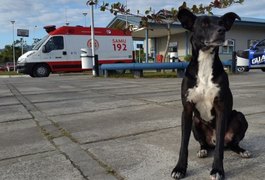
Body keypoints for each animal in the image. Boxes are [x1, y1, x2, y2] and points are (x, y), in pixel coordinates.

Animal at [171, 8, 250, 180]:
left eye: (222, 23)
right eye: (204, 24)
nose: (221, 31)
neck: (206, 62)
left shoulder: (221, 109)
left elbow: (219, 148)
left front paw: (217, 170)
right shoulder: (187, 111)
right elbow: (183, 144)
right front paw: (180, 168)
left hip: (239, 116)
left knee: (230, 143)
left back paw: (241, 150)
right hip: (195, 122)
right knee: (204, 143)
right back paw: (203, 150)